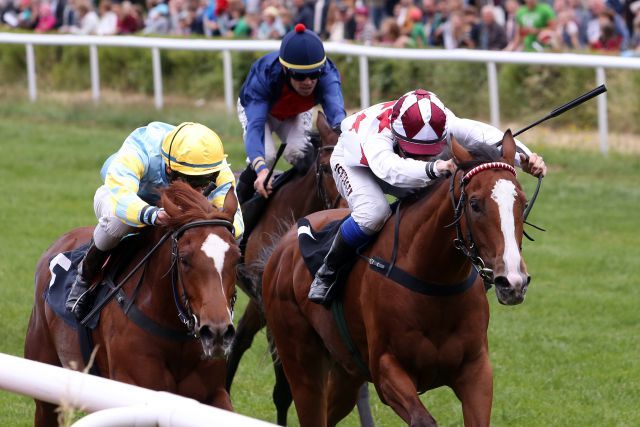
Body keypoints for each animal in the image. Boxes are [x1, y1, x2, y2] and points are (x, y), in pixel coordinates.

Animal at [23, 182, 240, 426]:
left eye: (237, 257)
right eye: (184, 260)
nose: (217, 332)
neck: (172, 329)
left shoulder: (214, 394)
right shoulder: (135, 388)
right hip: (46, 383)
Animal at [262, 132, 532, 426]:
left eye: (523, 202)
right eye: (474, 204)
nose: (513, 282)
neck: (435, 281)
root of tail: (284, 243)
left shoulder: (476, 370)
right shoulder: (386, 369)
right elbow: (423, 419)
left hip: (346, 372)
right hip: (302, 363)